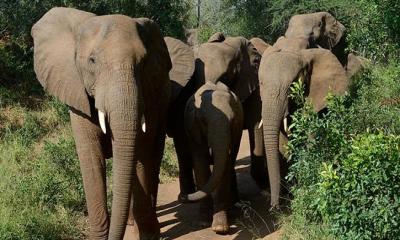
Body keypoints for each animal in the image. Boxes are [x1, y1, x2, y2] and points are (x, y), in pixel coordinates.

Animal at [31, 7, 191, 240]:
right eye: (92, 61)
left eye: (144, 63)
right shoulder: (77, 94)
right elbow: (91, 158)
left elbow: (140, 153)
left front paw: (149, 233)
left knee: (153, 158)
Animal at [182, 81, 244, 233]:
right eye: (204, 121)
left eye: (232, 121)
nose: (183, 197)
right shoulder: (193, 129)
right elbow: (200, 163)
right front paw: (203, 223)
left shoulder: (234, 130)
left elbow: (225, 162)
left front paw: (220, 228)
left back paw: (231, 209)